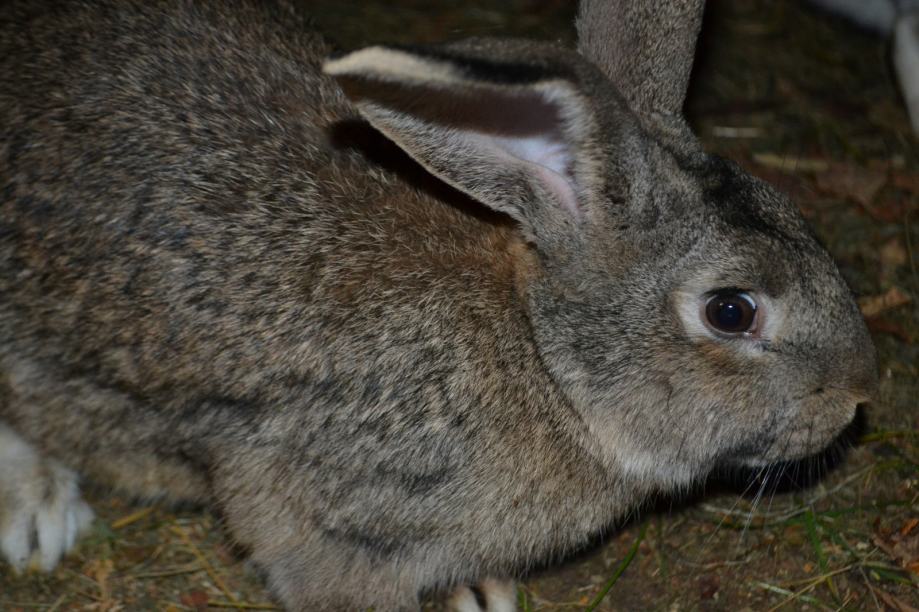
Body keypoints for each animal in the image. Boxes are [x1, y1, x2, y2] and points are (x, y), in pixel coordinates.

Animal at [0, 0, 876, 608]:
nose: (853, 397)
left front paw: (474, 591)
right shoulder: (312, 501)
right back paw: (38, 508)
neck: (544, 358)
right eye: (731, 311)